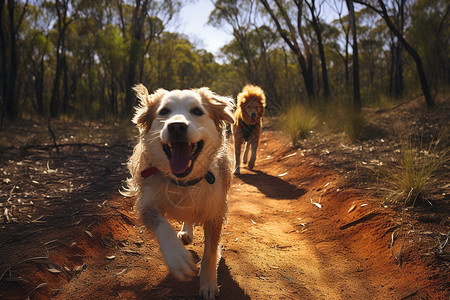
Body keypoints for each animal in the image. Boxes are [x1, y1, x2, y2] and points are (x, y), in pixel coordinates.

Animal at [122, 83, 236, 298]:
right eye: (164, 111)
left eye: (197, 111)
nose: (176, 126)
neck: (183, 183)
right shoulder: (146, 201)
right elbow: (162, 225)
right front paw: (176, 257)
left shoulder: (215, 212)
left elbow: (210, 252)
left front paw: (208, 283)